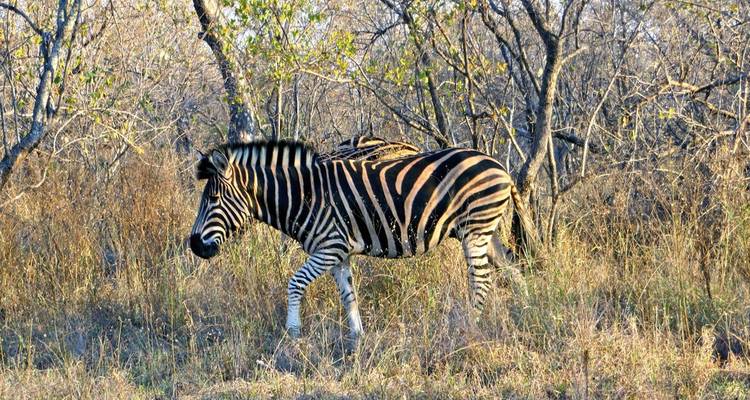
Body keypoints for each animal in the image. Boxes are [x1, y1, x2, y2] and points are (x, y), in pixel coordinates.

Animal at [189, 140, 539, 345]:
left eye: (213, 199)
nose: (194, 245)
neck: (305, 197)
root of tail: (500, 167)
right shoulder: (338, 253)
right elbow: (348, 295)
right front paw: (357, 339)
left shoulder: (328, 247)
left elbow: (295, 283)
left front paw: (293, 333)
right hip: (485, 230)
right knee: (511, 268)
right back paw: (525, 311)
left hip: (475, 229)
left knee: (481, 280)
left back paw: (469, 327)